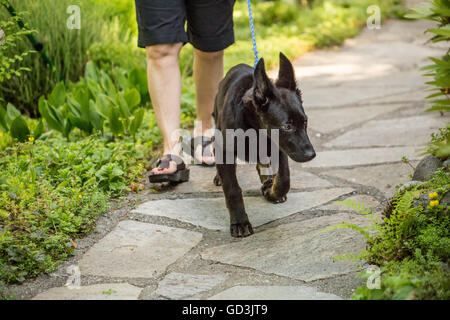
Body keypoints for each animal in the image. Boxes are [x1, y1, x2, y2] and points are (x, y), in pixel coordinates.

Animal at [214, 52, 316, 238]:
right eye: (287, 126)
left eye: (305, 122)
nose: (311, 155)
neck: (255, 128)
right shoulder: (224, 151)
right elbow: (232, 188)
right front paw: (240, 221)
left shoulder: (280, 147)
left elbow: (284, 178)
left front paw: (272, 191)